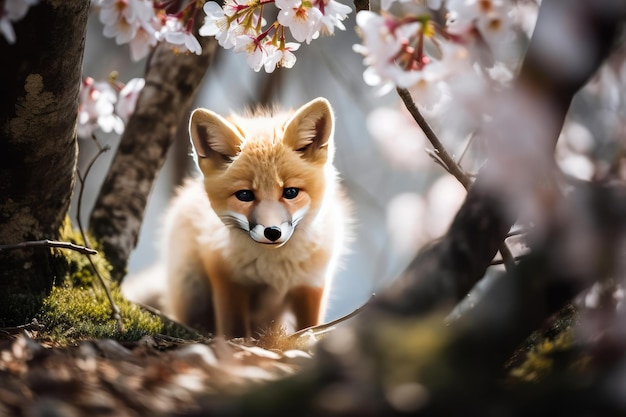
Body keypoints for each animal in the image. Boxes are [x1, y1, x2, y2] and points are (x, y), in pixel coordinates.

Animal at [160, 97, 352, 338]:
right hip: (191, 292)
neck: (275, 269)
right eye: (245, 195)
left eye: (290, 192)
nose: (272, 232)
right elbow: (234, 331)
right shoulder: (227, 280)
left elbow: (310, 326)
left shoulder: (312, 284)